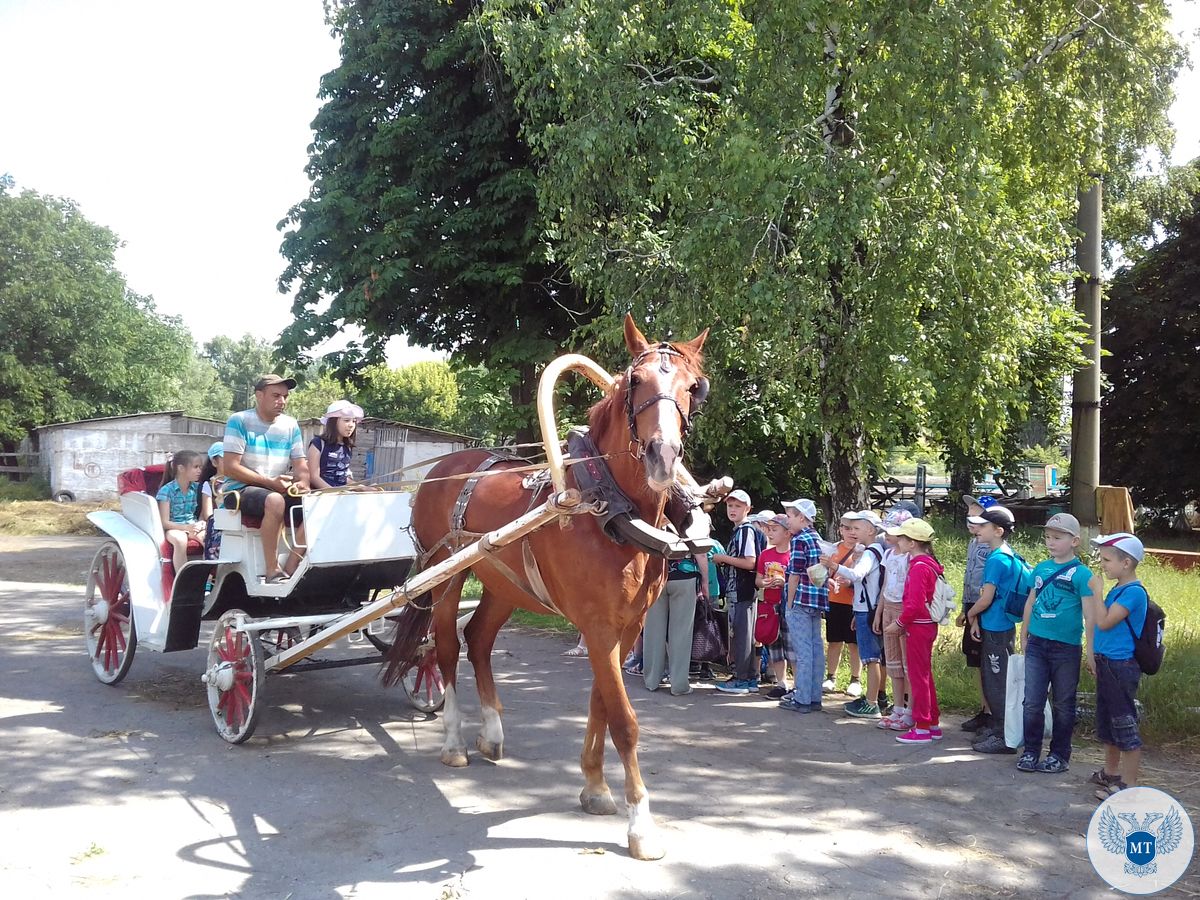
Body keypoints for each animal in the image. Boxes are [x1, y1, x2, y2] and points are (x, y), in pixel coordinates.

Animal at [379, 316, 705, 859]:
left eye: (694, 388)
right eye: (635, 383)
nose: (664, 456)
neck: (609, 507)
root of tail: (441, 470)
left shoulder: (627, 627)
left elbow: (600, 704)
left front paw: (594, 787)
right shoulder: (598, 626)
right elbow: (624, 721)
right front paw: (641, 825)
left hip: (504, 587)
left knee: (478, 640)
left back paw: (491, 732)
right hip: (446, 575)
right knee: (445, 648)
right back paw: (454, 743)